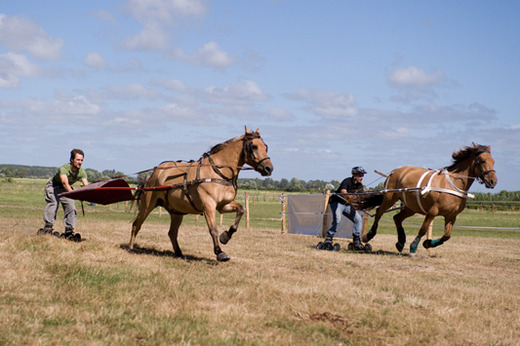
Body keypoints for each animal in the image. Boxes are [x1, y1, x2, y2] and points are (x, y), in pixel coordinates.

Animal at [129, 127, 272, 262]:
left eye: (266, 147)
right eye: (254, 146)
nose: (269, 168)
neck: (218, 172)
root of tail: (154, 173)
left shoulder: (223, 205)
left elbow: (241, 210)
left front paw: (226, 236)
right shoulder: (209, 206)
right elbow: (213, 229)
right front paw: (220, 252)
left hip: (177, 212)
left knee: (172, 233)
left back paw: (179, 253)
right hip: (147, 205)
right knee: (136, 224)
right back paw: (130, 248)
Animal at [360, 143, 498, 254]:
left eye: (493, 161)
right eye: (482, 161)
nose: (493, 181)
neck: (452, 185)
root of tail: (395, 171)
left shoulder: (451, 216)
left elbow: (447, 236)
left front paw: (428, 243)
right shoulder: (432, 211)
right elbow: (423, 229)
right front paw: (413, 246)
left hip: (411, 207)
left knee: (397, 218)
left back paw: (400, 242)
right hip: (390, 198)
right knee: (379, 212)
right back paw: (368, 236)